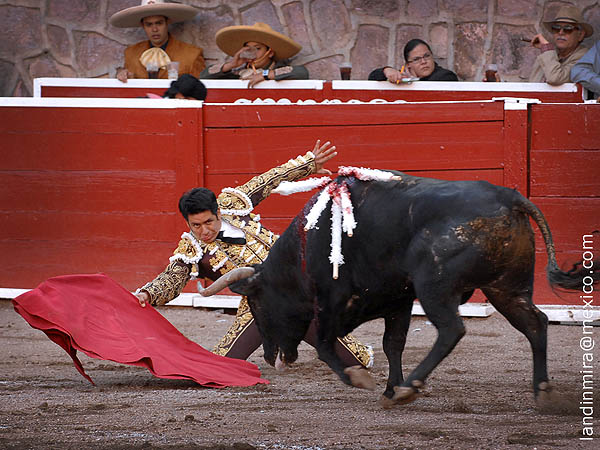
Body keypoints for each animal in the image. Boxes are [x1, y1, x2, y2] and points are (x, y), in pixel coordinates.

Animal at [200, 174, 596, 406]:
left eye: (256, 303)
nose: (270, 356)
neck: (304, 248)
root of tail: (511, 198)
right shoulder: (399, 300)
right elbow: (394, 343)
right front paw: (390, 386)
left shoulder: (332, 300)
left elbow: (327, 345)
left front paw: (363, 379)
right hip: (505, 289)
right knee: (535, 323)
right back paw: (542, 390)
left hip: (436, 287)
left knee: (452, 329)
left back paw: (413, 387)